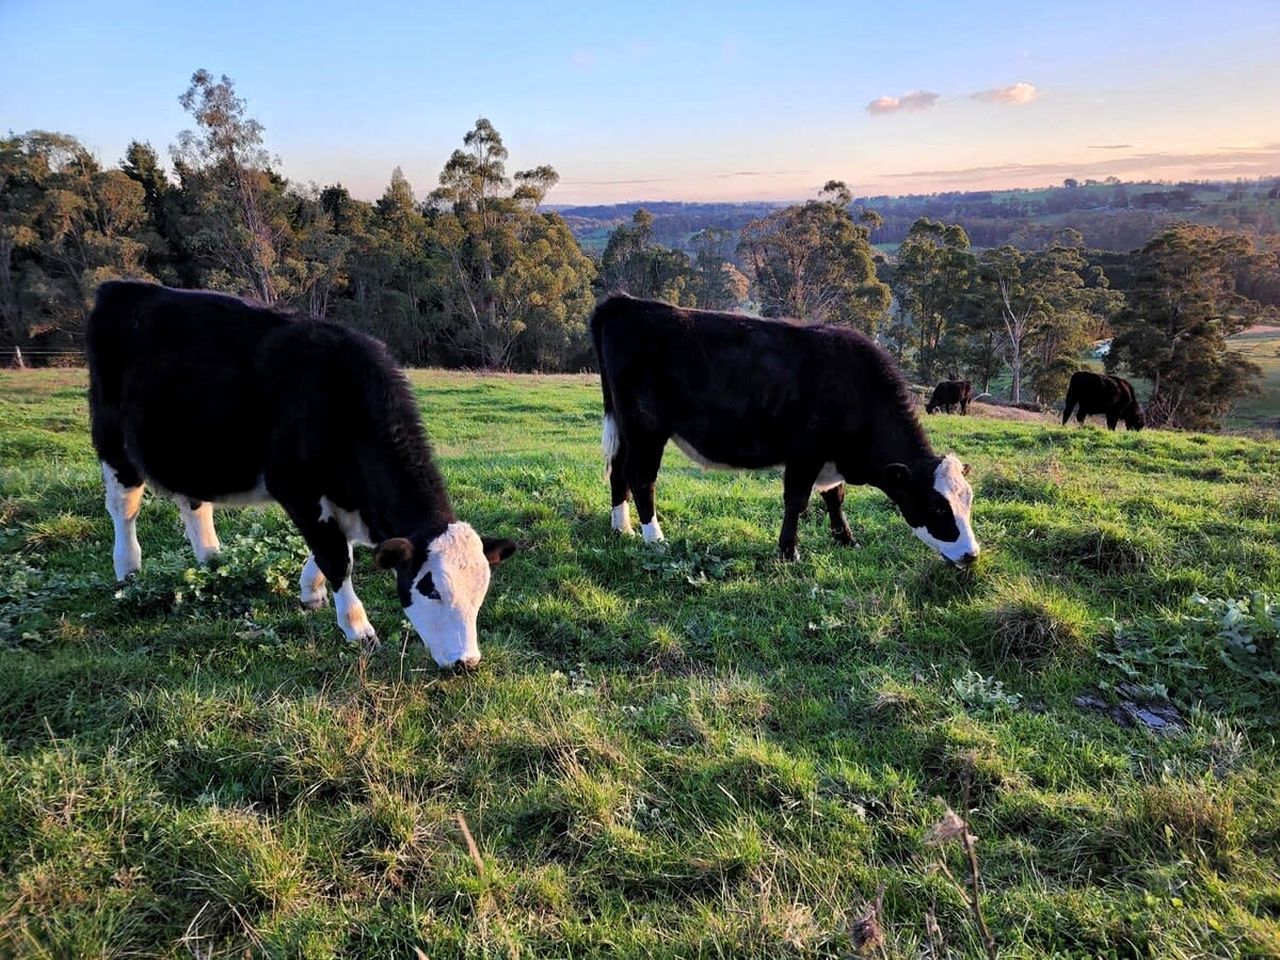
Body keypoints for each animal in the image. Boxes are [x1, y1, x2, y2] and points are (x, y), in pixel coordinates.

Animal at [87, 281, 516, 669]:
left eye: (480, 593)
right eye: (431, 590)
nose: (466, 662)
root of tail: (121, 288)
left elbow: (331, 549)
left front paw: (310, 591)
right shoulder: (297, 488)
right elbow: (336, 557)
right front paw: (358, 629)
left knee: (194, 503)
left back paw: (211, 559)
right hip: (112, 440)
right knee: (123, 507)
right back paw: (128, 570)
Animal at [590, 296, 980, 565]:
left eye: (969, 501)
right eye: (937, 507)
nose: (971, 555)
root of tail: (626, 303)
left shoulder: (828, 459)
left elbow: (834, 497)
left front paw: (846, 539)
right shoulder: (805, 454)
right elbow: (797, 500)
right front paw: (788, 552)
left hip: (627, 430)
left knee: (618, 471)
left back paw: (621, 528)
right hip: (647, 429)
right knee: (641, 478)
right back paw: (654, 538)